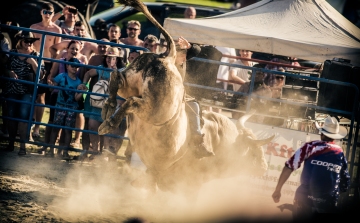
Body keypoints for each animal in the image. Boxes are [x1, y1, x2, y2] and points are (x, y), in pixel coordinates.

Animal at [98, 0, 272, 199]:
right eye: (254, 152)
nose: (263, 167)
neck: (222, 141)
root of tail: (168, 57)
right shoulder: (191, 185)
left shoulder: (156, 174)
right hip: (156, 110)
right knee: (132, 102)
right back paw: (109, 122)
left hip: (130, 83)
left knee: (116, 77)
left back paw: (109, 107)